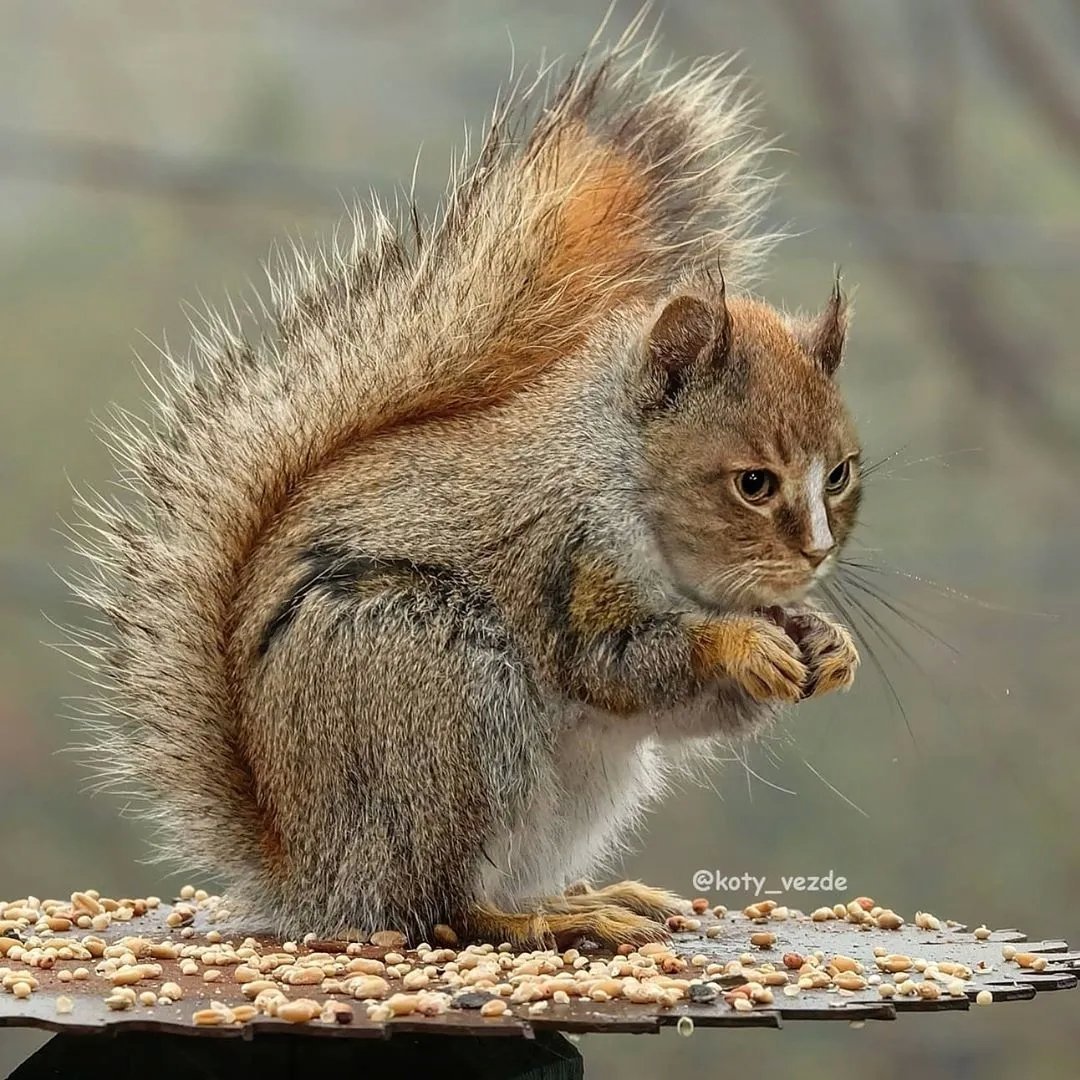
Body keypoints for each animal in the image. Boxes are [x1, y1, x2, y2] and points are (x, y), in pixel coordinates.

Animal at [64, 24, 862, 948]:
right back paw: (547, 920)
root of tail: (311, 867)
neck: (623, 477)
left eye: (841, 473)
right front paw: (741, 643)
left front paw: (828, 642)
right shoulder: (569, 559)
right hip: (440, 692)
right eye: (752, 482)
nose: (816, 555)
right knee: (439, 906)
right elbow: (618, 665)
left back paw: (592, 898)